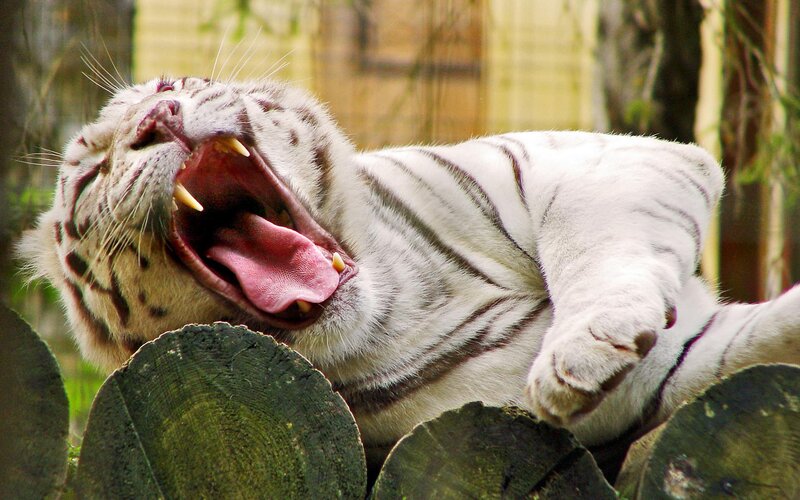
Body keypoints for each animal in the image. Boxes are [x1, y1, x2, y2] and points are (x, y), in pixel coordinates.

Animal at [18, 76, 800, 460]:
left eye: (166, 85)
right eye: (92, 173)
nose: (161, 116)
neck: (403, 299)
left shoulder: (601, 160)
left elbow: (591, 242)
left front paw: (580, 348)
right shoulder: (663, 370)